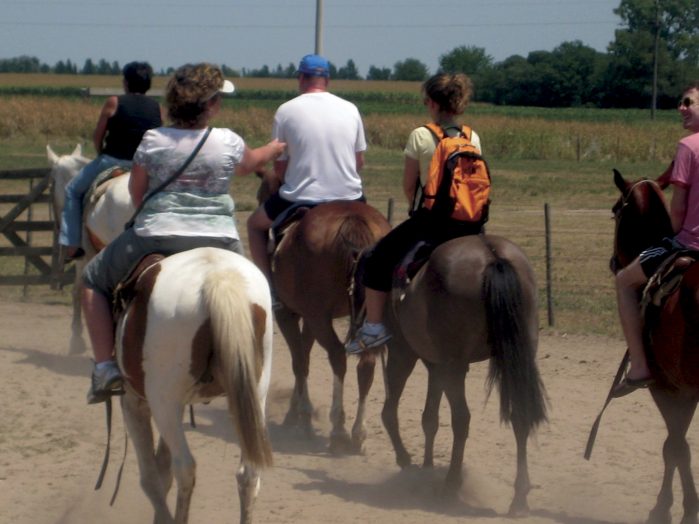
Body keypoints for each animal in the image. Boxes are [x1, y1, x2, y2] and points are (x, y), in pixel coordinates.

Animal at [117, 248, 274, 524]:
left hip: (163, 404)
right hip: (256, 395)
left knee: (184, 468)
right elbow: (162, 470)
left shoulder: (134, 402)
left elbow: (151, 478)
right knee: (248, 475)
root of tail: (218, 276)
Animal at [272, 200, 394, 450]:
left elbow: (299, 363)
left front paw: (301, 416)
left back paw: (338, 428)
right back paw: (358, 432)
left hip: (316, 317)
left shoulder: (288, 314)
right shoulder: (310, 319)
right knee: (366, 363)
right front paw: (295, 414)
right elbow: (305, 358)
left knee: (337, 355)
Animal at [378, 234, 548, 516]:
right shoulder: (436, 365)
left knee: (461, 419)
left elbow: (391, 412)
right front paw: (426, 468)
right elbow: (429, 418)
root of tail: (492, 254)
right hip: (517, 355)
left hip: (450, 364)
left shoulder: (404, 352)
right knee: (519, 415)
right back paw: (519, 498)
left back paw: (450, 485)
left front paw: (409, 463)